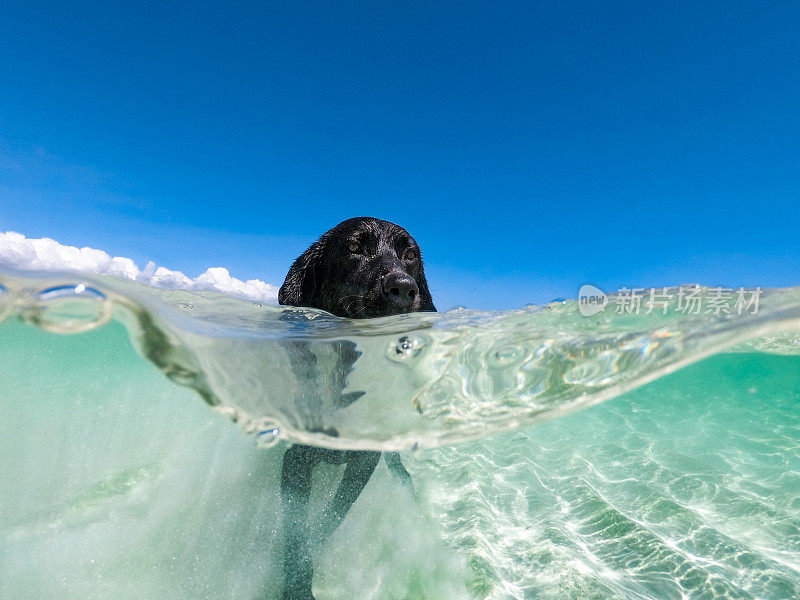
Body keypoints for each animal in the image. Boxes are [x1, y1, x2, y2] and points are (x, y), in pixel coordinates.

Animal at [276, 217, 438, 600]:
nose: (402, 287)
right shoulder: (297, 458)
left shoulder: (364, 464)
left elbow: (329, 520)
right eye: (353, 248)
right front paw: (296, 585)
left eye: (410, 255)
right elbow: (296, 529)